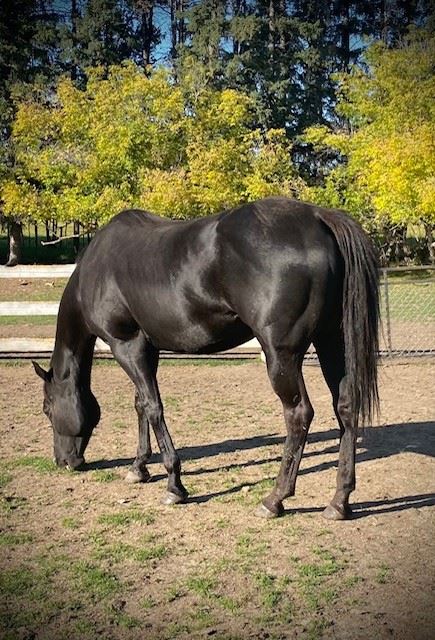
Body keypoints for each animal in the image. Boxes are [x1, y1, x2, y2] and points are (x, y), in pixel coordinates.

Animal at [34, 196, 380, 520]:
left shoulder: (126, 345)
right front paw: (138, 467)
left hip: (282, 356)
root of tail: (318, 216)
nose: (64, 461)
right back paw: (339, 501)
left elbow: (153, 408)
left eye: (47, 409)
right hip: (332, 343)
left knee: (299, 415)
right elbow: (140, 405)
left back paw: (274, 499)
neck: (97, 269)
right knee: (346, 407)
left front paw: (174, 485)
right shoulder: (147, 347)